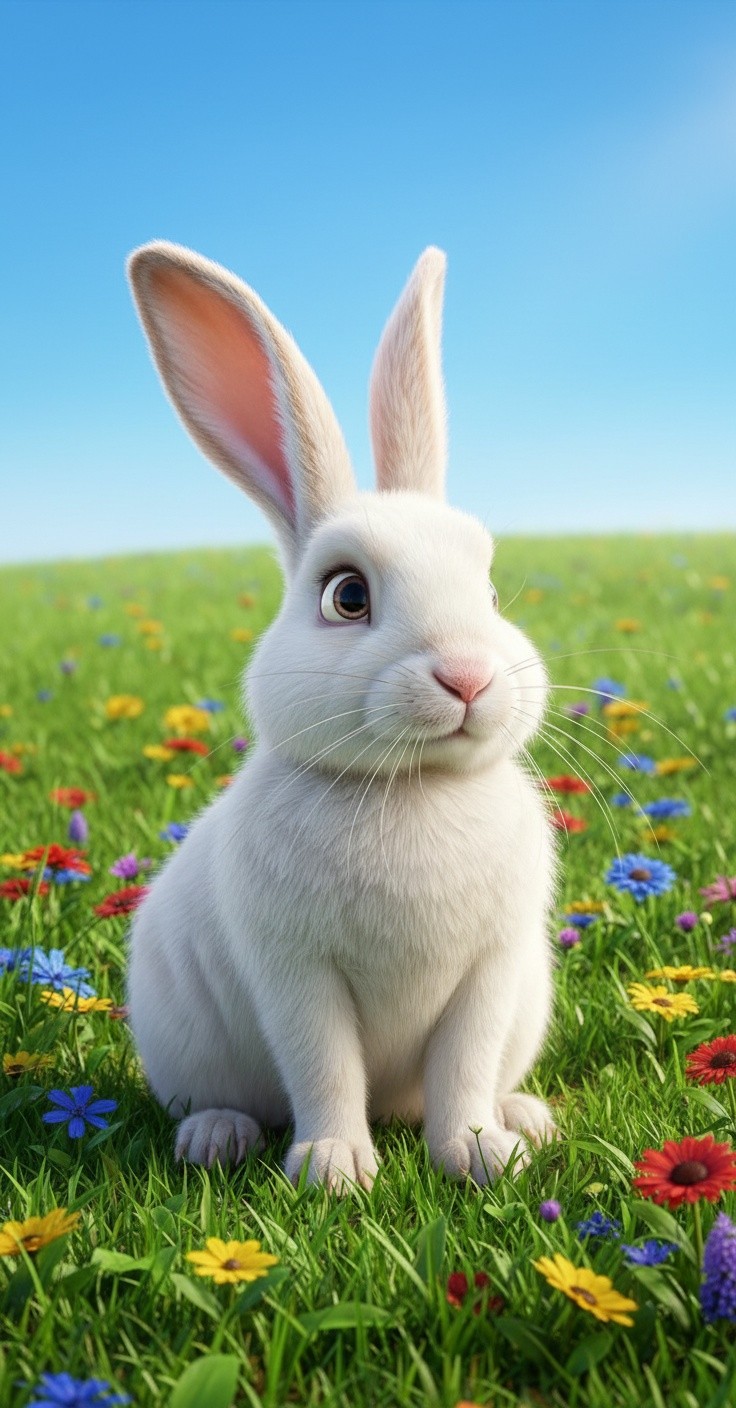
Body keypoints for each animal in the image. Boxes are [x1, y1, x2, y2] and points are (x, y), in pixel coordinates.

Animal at [126, 239, 558, 1192]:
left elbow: (463, 1069)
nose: (468, 678)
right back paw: (215, 1136)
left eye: (491, 592)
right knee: (225, 1099)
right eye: (346, 596)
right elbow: (322, 1065)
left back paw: (524, 1116)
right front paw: (334, 1170)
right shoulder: (296, 974)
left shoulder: (491, 971)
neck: (414, 788)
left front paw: (481, 1153)